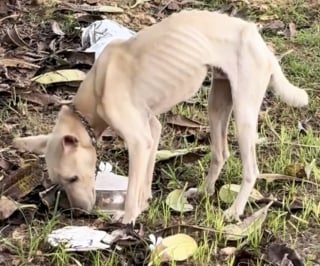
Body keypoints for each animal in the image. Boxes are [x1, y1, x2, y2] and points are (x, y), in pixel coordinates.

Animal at [12, 9, 308, 223]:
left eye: (73, 178)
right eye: (61, 183)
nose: (81, 212)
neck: (97, 88)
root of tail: (257, 38)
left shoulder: (138, 139)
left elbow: (133, 185)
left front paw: (128, 218)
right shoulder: (151, 130)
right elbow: (144, 178)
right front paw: (144, 204)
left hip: (244, 114)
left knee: (251, 170)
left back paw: (235, 211)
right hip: (217, 104)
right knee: (220, 153)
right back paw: (204, 191)